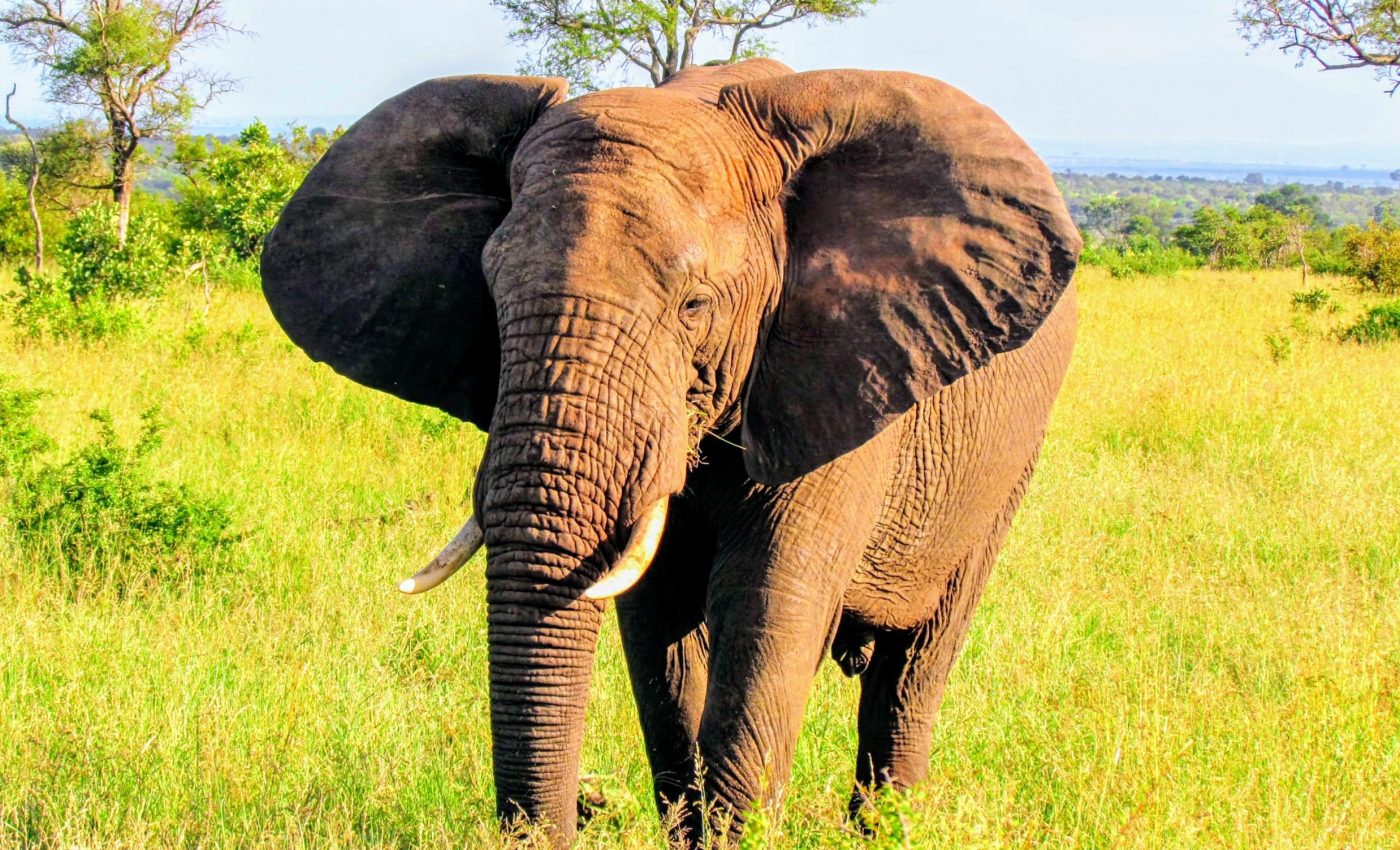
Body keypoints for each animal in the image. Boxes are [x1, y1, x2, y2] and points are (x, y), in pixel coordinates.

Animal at [260, 58, 1081, 847]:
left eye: (695, 306)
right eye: (489, 295)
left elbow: (767, 614)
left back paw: (883, 830)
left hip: (1007, 466)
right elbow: (660, 633)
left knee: (911, 674)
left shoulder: (842, 376)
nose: (575, 813)